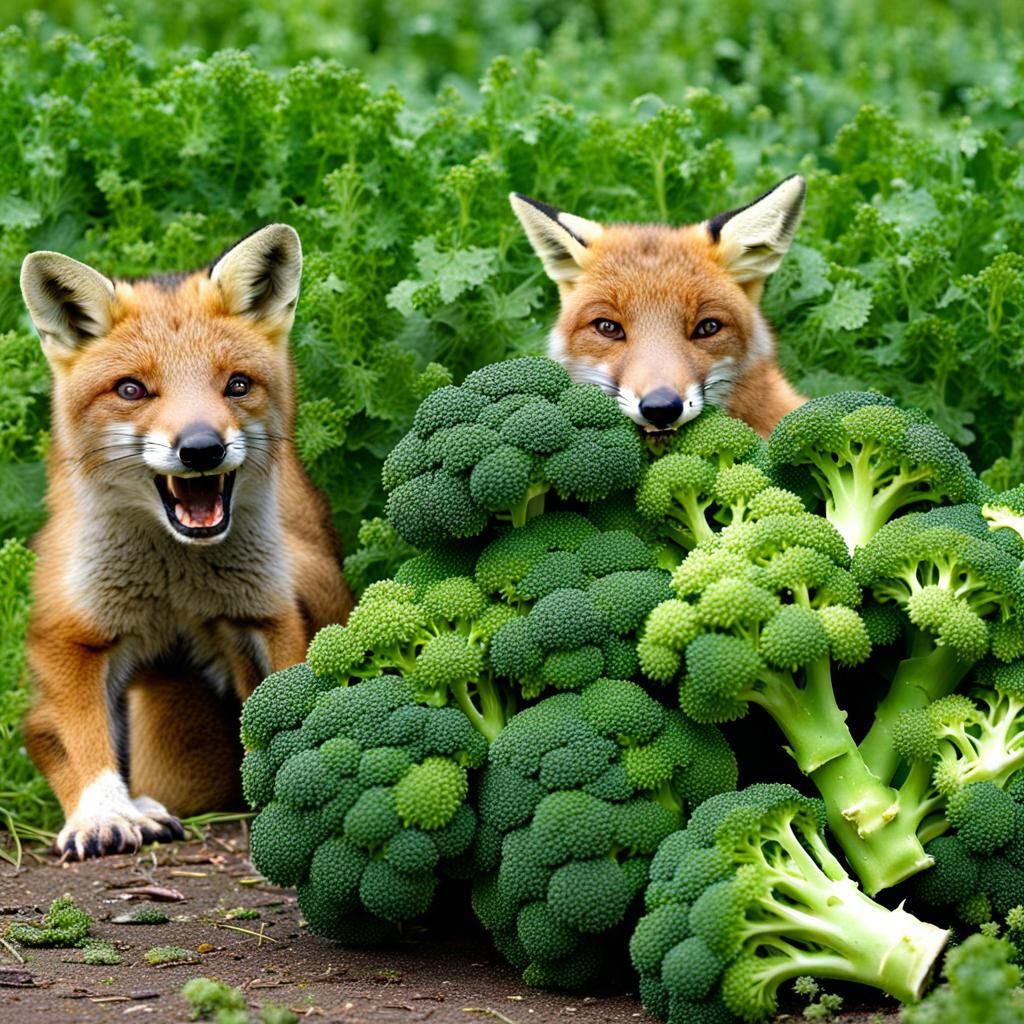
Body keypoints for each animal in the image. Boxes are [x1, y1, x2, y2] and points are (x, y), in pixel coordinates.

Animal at [19, 225, 353, 860]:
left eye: (236, 385)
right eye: (132, 389)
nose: (201, 449)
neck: (176, 586)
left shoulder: (267, 614)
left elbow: (292, 704)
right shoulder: (70, 634)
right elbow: (72, 736)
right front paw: (103, 814)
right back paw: (143, 808)